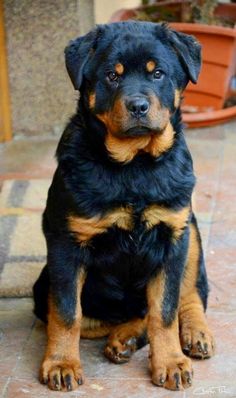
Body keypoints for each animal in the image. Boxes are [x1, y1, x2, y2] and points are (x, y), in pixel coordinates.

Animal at [33, 21, 216, 392]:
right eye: (111, 76)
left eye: (157, 73)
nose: (138, 106)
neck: (135, 166)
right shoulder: (65, 244)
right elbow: (66, 312)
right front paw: (61, 363)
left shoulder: (173, 237)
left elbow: (165, 308)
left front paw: (171, 362)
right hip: (43, 282)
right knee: (100, 317)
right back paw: (124, 337)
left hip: (190, 232)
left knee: (188, 296)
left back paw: (193, 334)